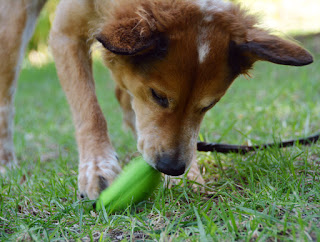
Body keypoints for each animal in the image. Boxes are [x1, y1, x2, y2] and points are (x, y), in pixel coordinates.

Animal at [0, 0, 312, 199]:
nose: (171, 168)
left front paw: (189, 177)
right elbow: (89, 111)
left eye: (209, 105)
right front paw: (98, 167)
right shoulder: (65, 34)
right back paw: (6, 161)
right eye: (158, 95)